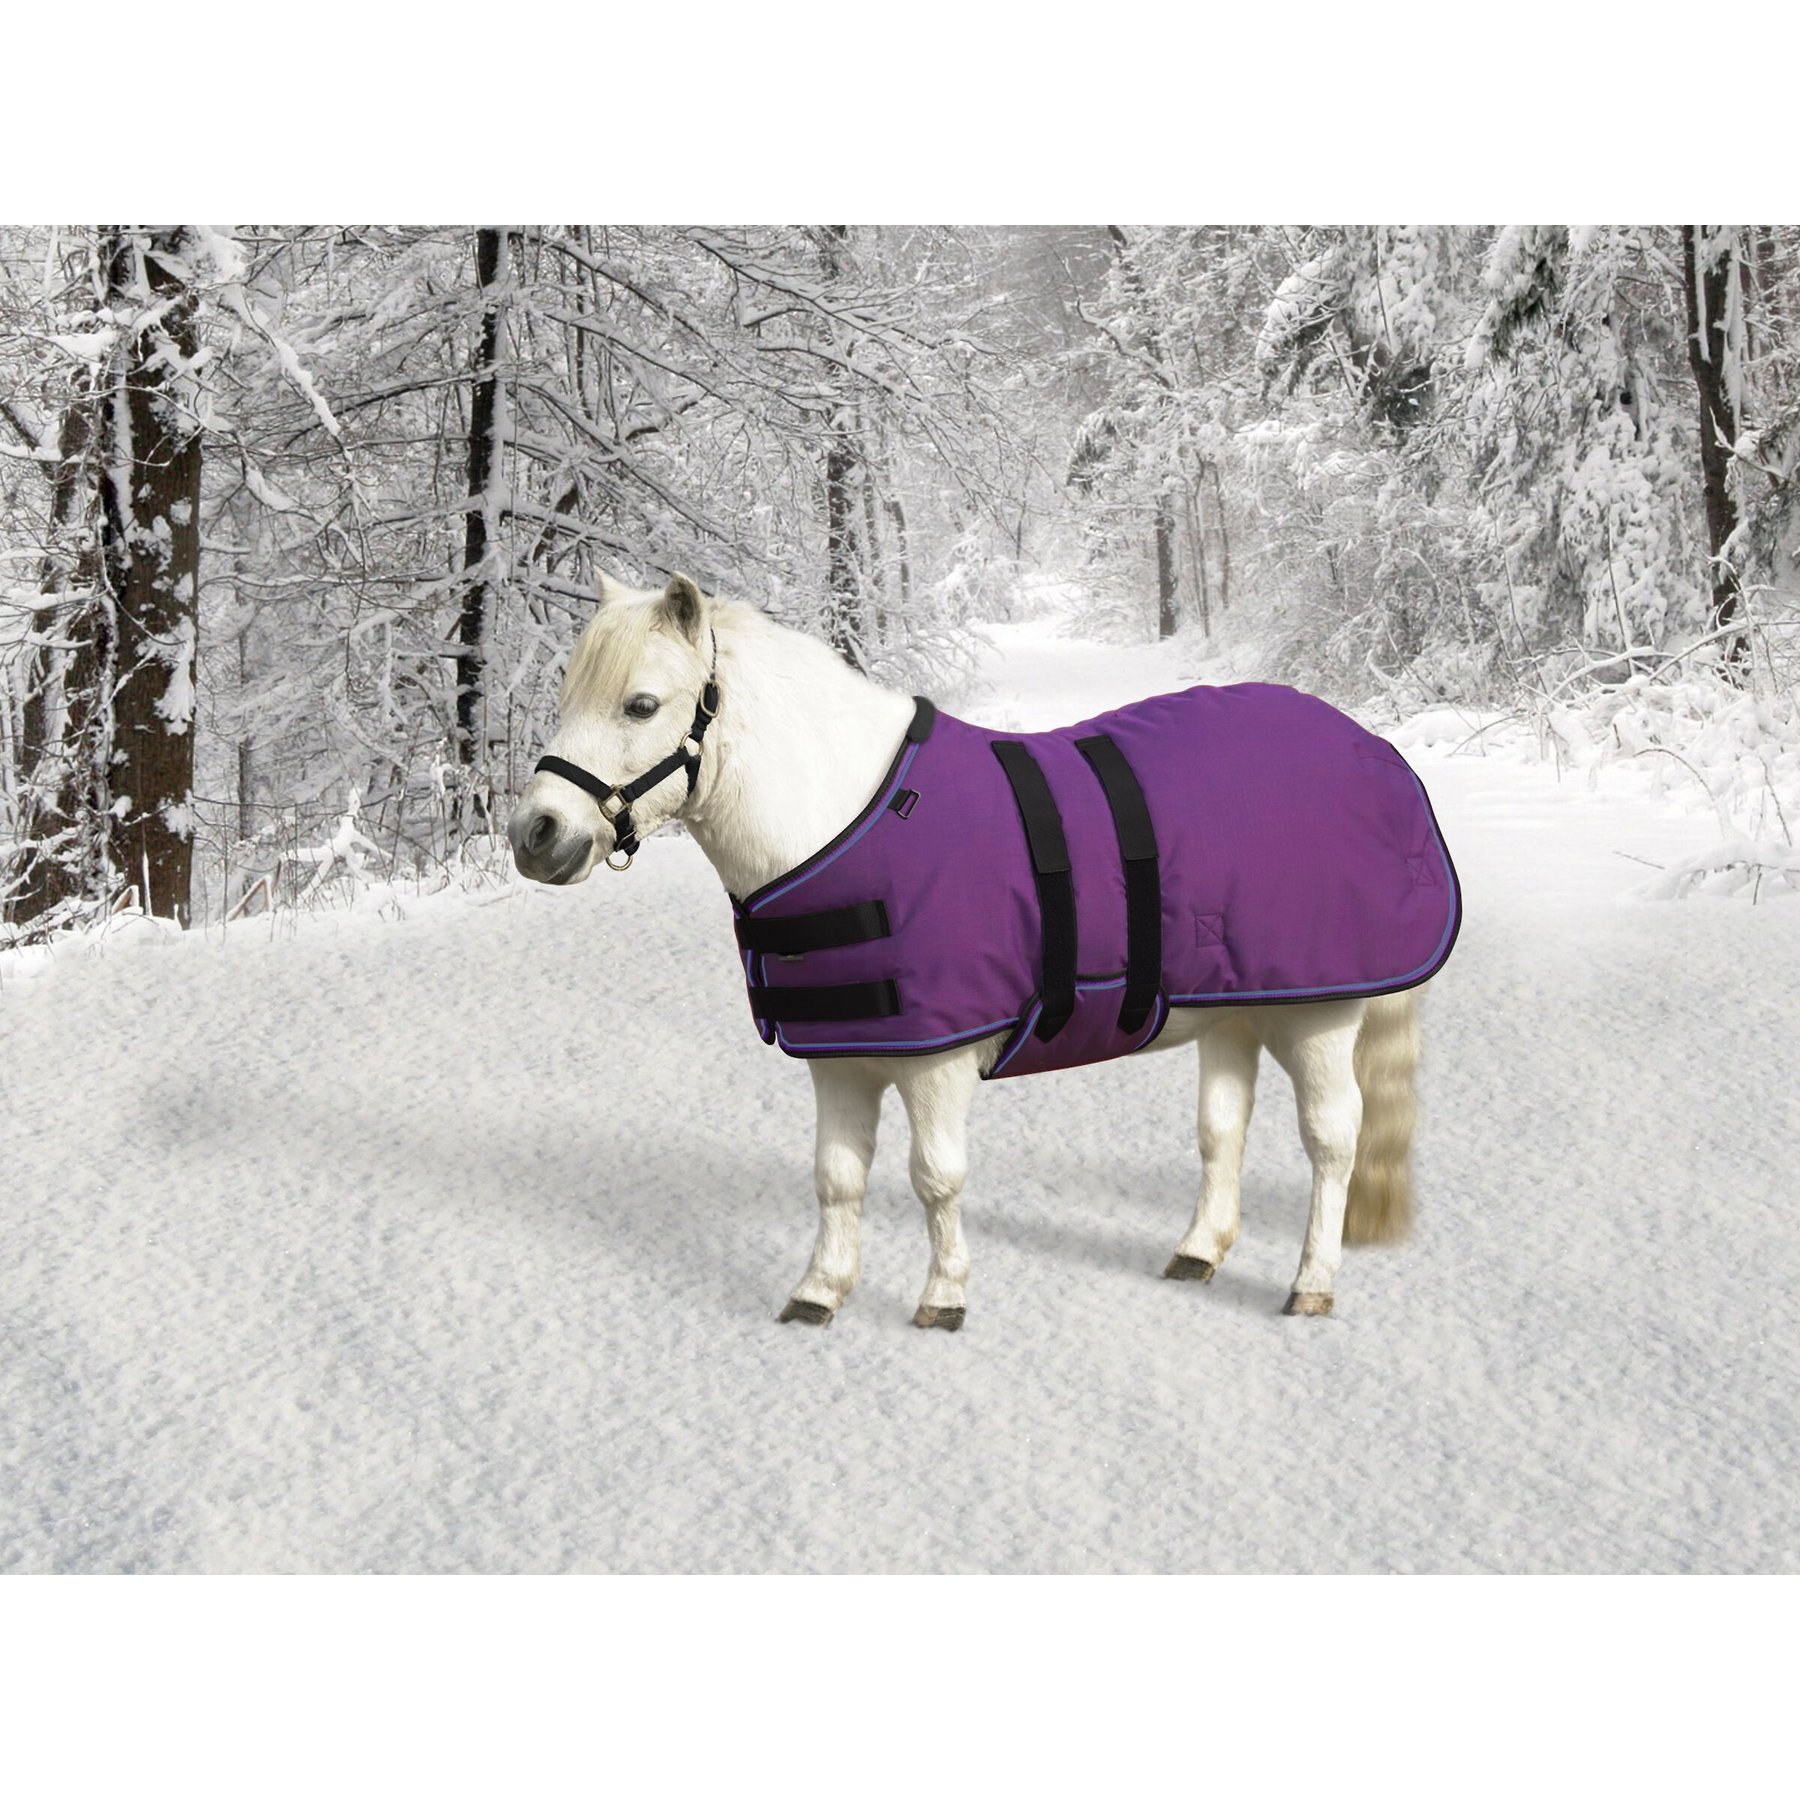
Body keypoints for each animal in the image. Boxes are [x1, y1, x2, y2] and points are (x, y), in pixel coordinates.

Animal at [508, 571, 1432, 1327]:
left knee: (1333, 1142)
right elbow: (836, 1177)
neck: (845, 819)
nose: (535, 835)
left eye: (641, 704)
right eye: (566, 692)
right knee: (1221, 1130)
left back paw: (1312, 1285)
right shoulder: (843, 1057)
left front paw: (943, 1297)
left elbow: (935, 1176)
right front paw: (818, 1293)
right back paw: (1198, 1252)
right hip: (1237, 1007)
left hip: (1317, 1016)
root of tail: (1369, 749)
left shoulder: (935, 1061)